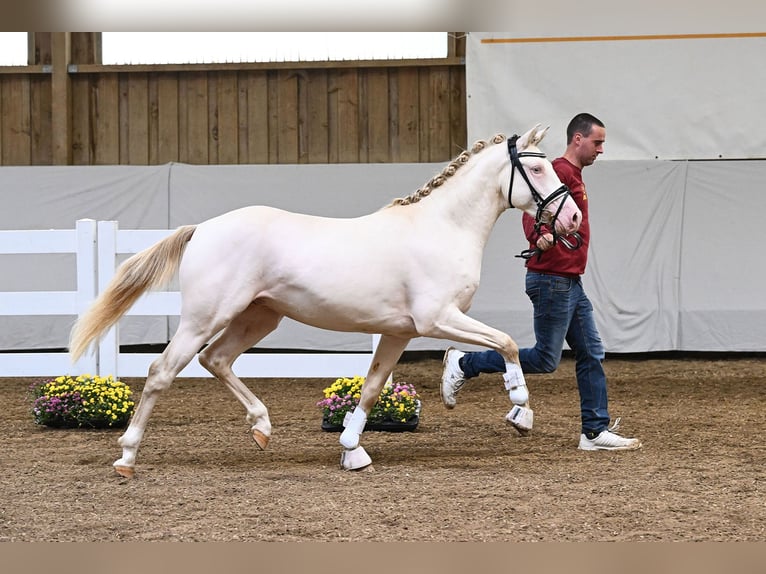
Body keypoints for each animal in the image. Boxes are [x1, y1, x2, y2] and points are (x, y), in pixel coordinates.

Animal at [69, 125, 584, 476]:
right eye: (536, 168)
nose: (574, 219)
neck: (442, 227)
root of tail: (203, 229)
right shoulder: (437, 318)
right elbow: (506, 343)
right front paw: (520, 410)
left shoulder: (399, 332)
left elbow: (373, 387)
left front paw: (353, 450)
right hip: (206, 316)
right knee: (163, 371)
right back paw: (127, 456)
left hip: (259, 318)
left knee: (215, 360)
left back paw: (262, 429)